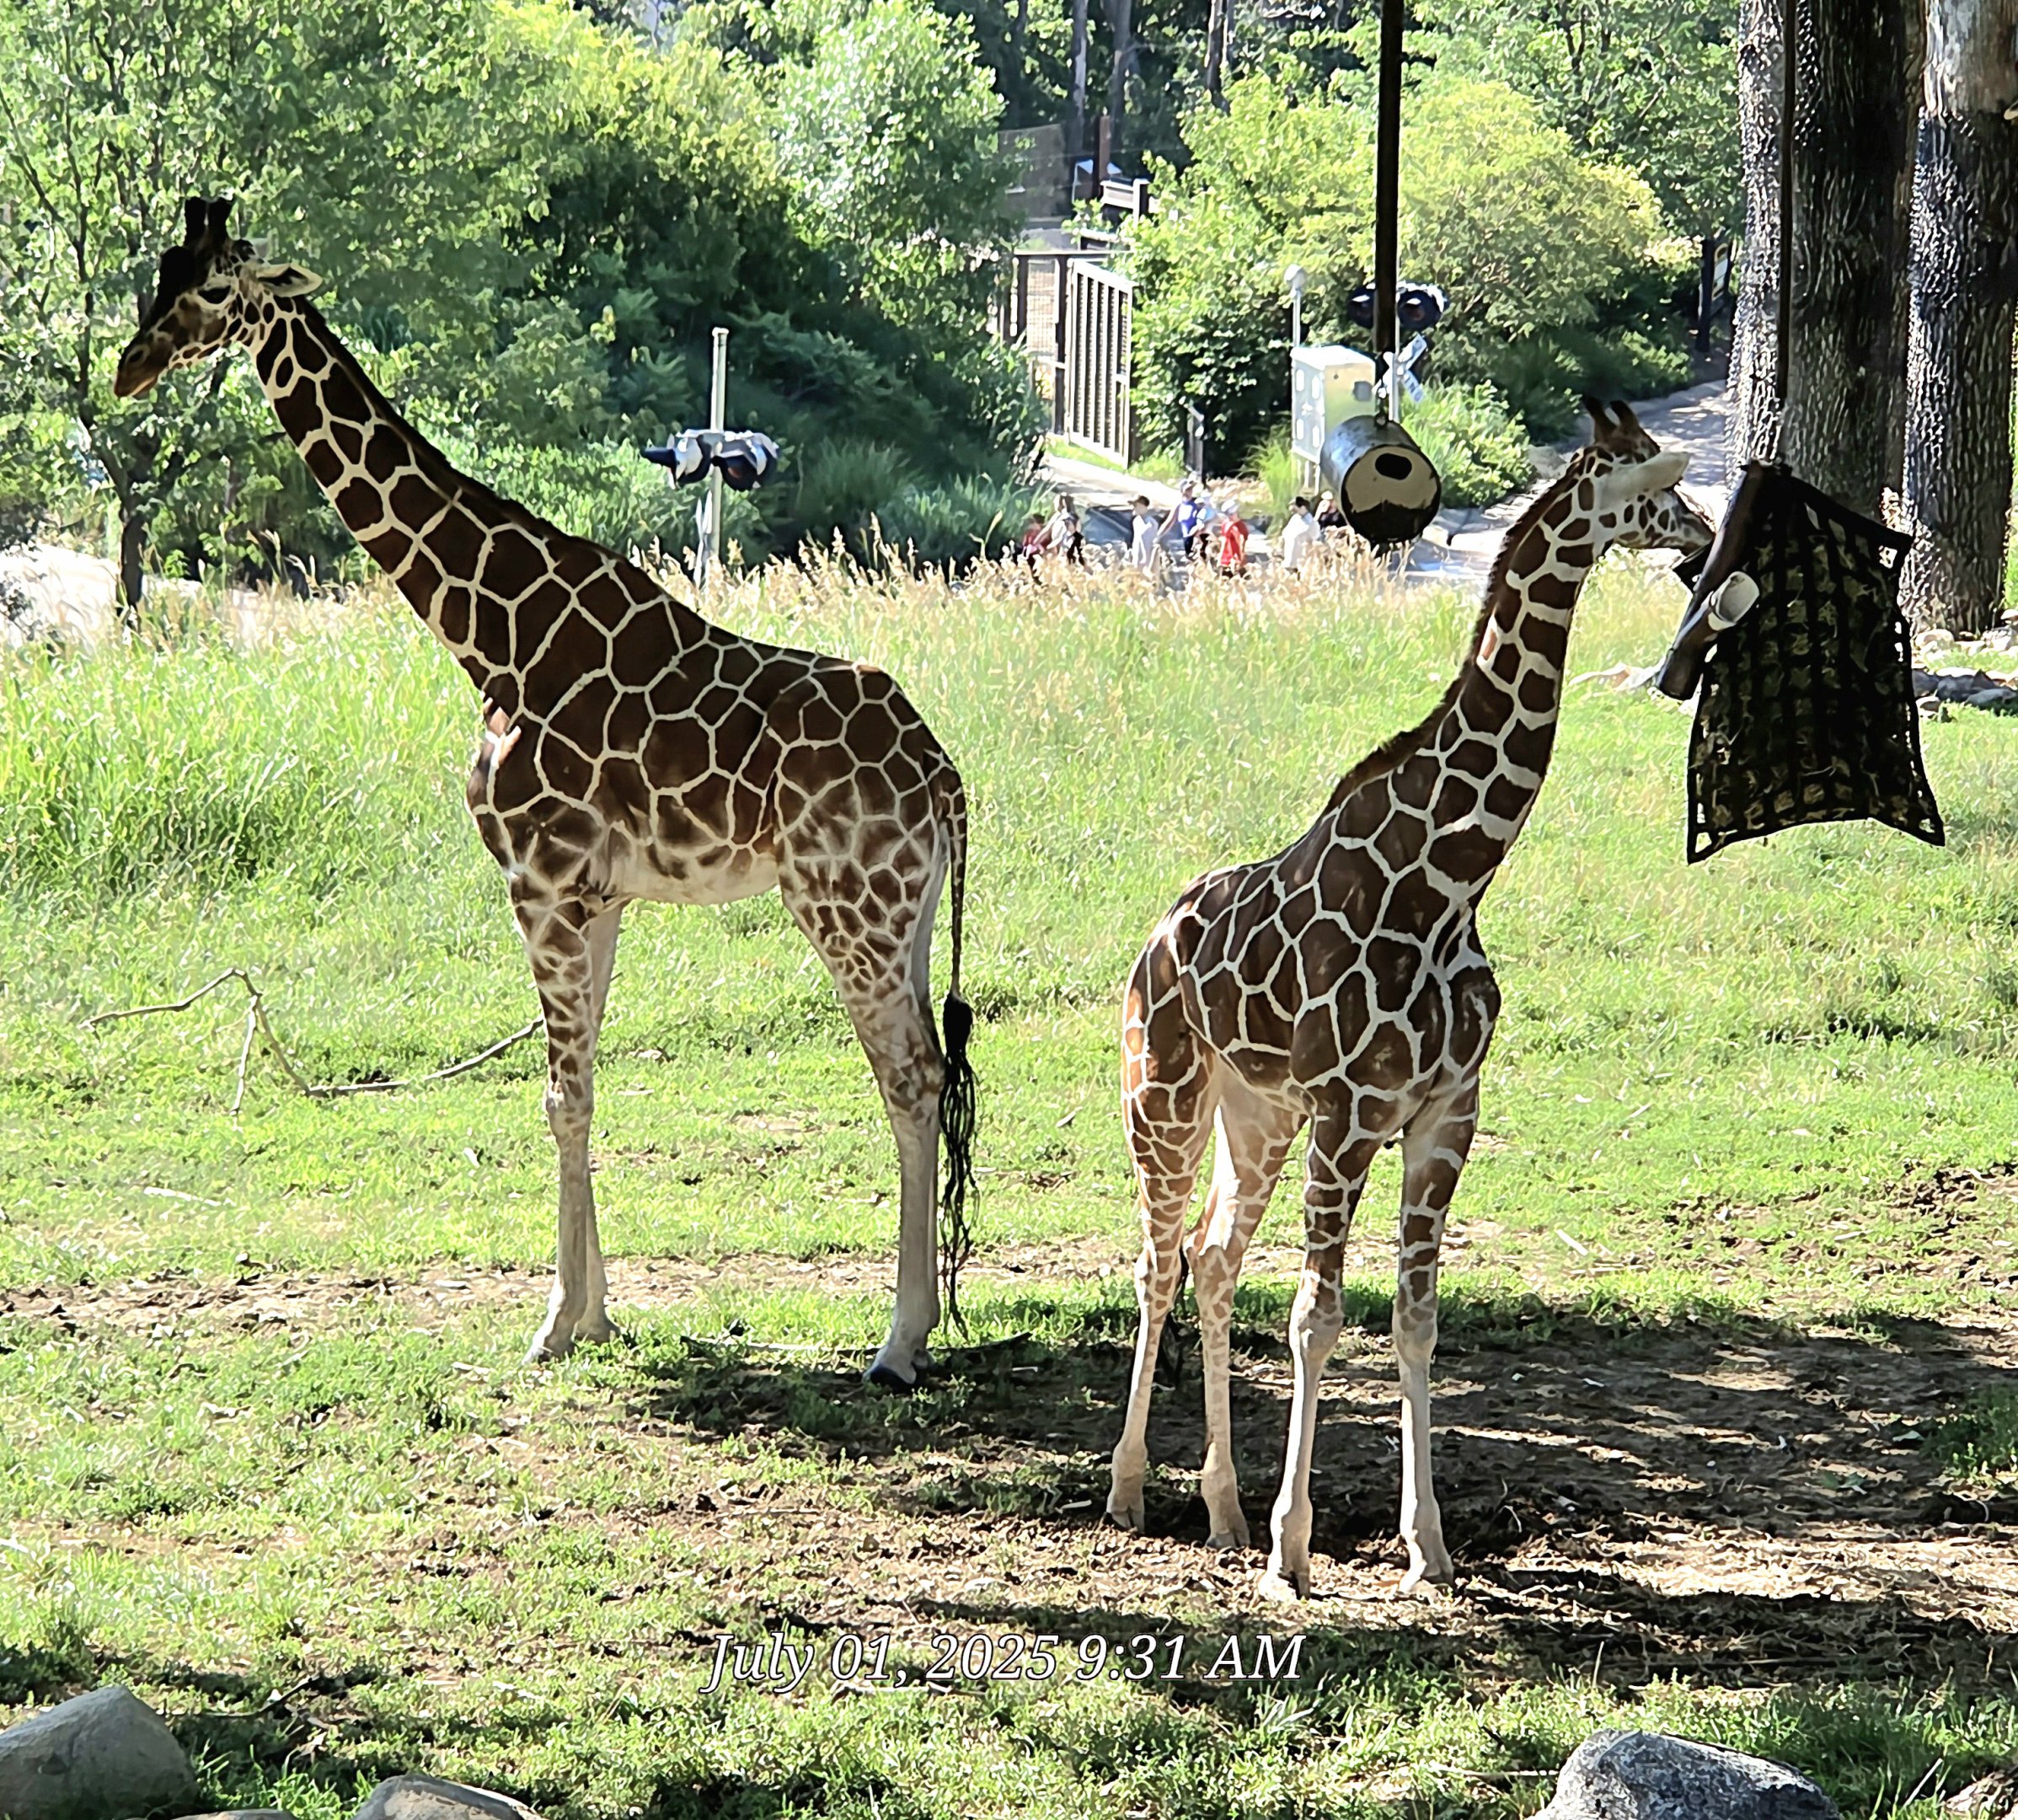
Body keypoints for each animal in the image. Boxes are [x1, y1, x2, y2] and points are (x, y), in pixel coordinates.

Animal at [114, 197, 975, 1387]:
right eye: (158, 271)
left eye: (208, 291)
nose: (129, 368)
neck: (491, 635)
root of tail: (942, 778)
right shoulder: (595, 895)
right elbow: (582, 1087)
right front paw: (595, 1315)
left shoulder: (539, 879)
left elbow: (560, 1094)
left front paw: (555, 1325)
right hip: (908, 916)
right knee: (931, 1075)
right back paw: (919, 1325)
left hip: (846, 909)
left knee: (909, 1077)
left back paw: (896, 1344)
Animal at [1105, 401, 1714, 1598]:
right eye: (1652, 489)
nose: (1708, 537)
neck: (1450, 881)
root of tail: (1155, 936)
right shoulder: (1349, 1115)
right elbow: (1315, 1317)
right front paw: (1294, 1554)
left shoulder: (1443, 1116)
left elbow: (1415, 1320)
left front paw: (1424, 1544)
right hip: (1166, 1098)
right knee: (1155, 1263)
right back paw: (1130, 1491)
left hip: (1258, 1119)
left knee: (1211, 1260)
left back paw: (1222, 1511)